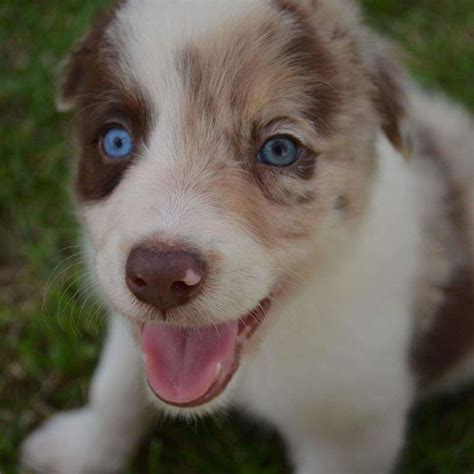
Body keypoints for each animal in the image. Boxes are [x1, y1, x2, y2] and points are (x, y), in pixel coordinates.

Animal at [19, 1, 474, 472]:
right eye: (116, 140)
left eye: (280, 149)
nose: (160, 276)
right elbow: (115, 387)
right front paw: (81, 450)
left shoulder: (348, 431)